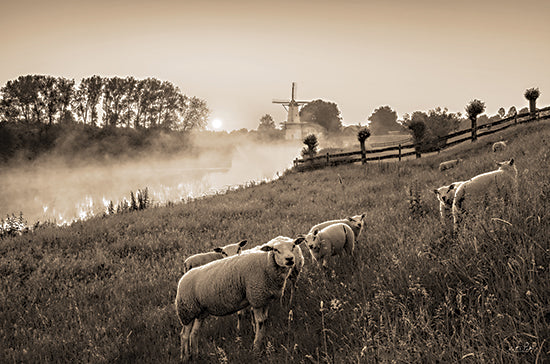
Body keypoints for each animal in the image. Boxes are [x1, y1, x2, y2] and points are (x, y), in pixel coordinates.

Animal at [176, 236, 306, 362]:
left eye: (293, 246)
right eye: (275, 250)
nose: (289, 259)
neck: (267, 263)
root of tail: (183, 278)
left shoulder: (264, 299)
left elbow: (264, 321)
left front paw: (261, 342)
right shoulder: (256, 297)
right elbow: (260, 322)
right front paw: (256, 348)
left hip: (200, 312)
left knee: (194, 333)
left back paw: (195, 355)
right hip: (187, 310)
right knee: (184, 335)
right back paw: (185, 357)